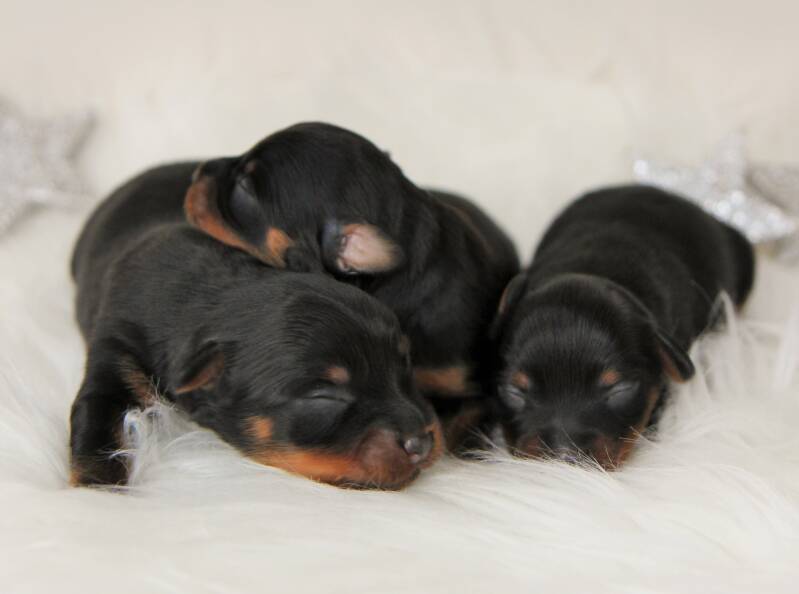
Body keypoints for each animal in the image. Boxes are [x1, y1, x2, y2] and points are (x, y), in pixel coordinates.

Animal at [69, 162, 443, 489]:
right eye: (324, 397)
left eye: (405, 366)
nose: (422, 444)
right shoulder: (116, 350)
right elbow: (97, 427)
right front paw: (98, 492)